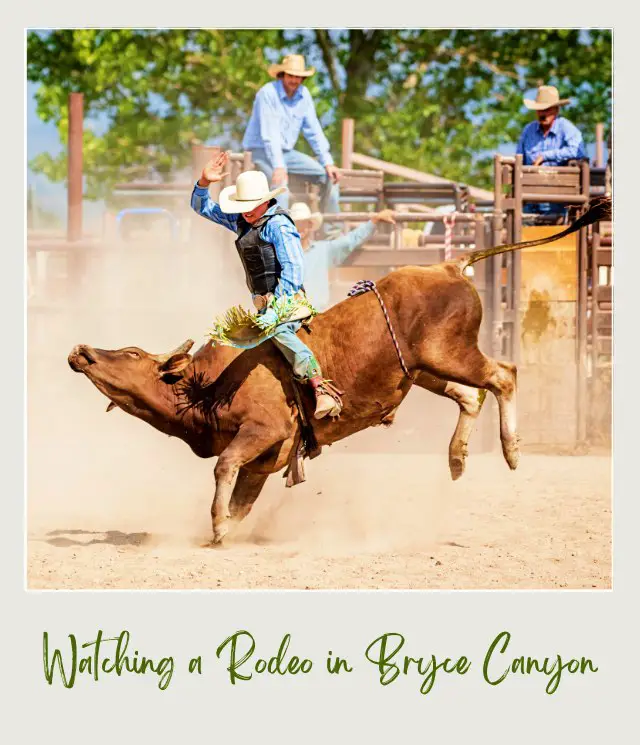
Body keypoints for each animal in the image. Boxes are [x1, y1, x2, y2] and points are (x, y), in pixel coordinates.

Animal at [66, 198, 608, 540]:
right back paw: (456, 458)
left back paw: (511, 451)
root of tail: (449, 265)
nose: (81, 351)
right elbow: (241, 501)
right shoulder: (264, 462)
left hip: (449, 355)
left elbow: (222, 467)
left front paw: (215, 525)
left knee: (503, 375)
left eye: (133, 353)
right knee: (470, 396)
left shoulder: (262, 431)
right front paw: (223, 529)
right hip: (424, 370)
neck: (206, 385)